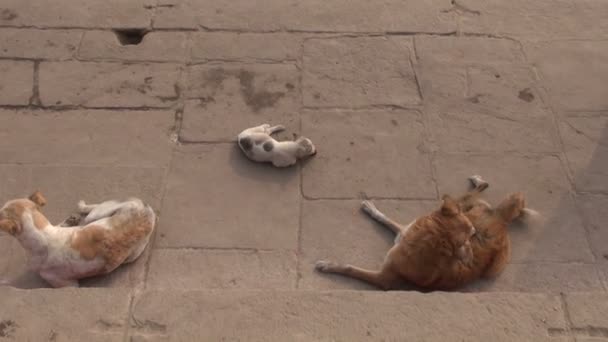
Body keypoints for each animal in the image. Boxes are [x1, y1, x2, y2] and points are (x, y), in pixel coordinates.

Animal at [1, 191, 157, 288]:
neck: (43, 235)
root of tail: (145, 210)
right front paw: (69, 221)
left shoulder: (67, 285)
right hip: (132, 254)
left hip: (96, 214)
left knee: (89, 210)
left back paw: (81, 205)